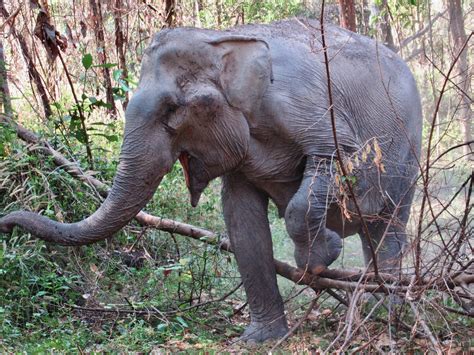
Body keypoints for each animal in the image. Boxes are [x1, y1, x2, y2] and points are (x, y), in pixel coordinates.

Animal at [0, 18, 422, 342]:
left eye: (172, 109)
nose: (6, 223)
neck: (221, 37)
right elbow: (240, 220)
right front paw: (260, 339)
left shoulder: (305, 104)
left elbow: (335, 154)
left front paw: (318, 262)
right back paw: (372, 300)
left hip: (409, 152)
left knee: (390, 226)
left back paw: (385, 311)